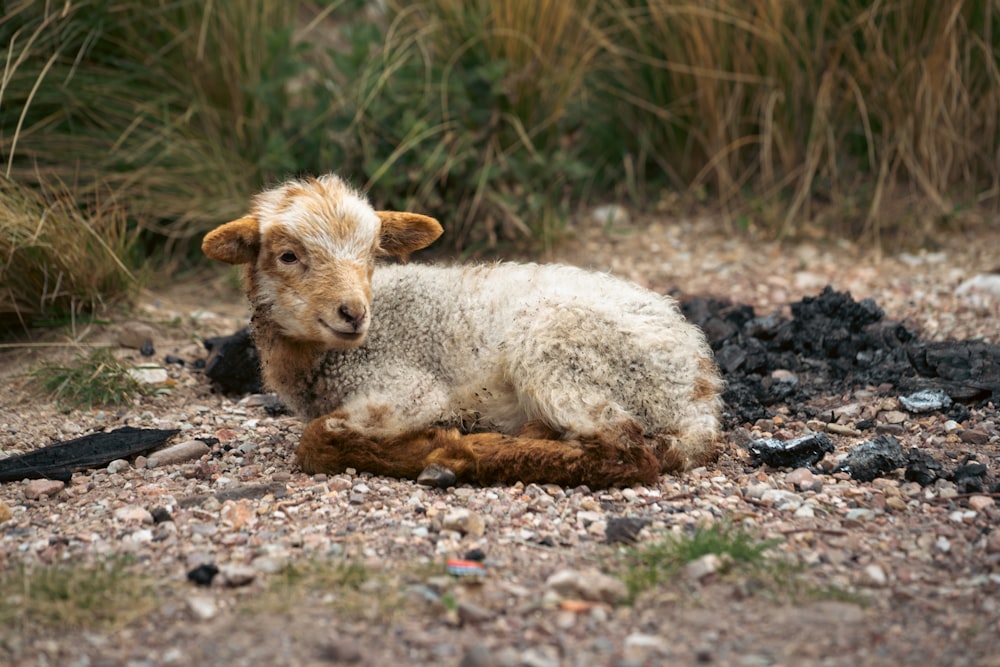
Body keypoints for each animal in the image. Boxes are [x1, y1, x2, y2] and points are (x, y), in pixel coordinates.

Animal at [201, 175, 720, 488]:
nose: (353, 313)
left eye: (372, 254)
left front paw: (431, 441)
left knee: (627, 451)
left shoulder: (406, 389)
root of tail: (702, 392)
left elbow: (316, 440)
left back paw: (464, 454)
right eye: (287, 256)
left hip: (560, 349)